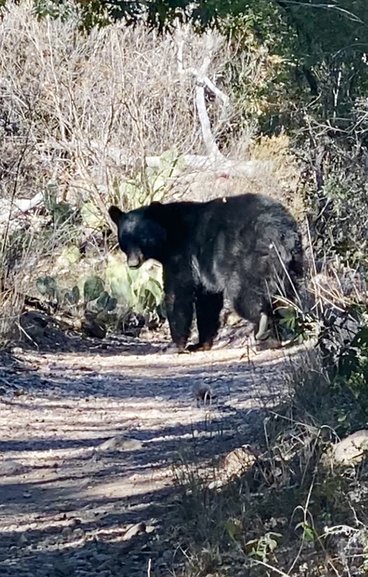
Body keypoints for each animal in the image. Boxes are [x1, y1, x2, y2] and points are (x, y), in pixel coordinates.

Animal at [108, 195, 304, 352]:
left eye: (142, 239)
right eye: (124, 240)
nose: (133, 263)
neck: (169, 232)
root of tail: (281, 232)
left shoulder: (183, 254)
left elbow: (179, 293)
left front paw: (174, 345)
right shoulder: (205, 270)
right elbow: (207, 301)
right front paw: (201, 344)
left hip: (249, 259)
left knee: (245, 295)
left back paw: (263, 329)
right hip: (292, 262)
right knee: (287, 293)